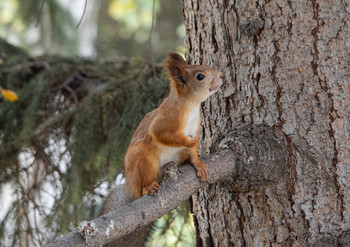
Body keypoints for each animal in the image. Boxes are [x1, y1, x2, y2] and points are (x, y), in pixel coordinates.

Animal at [123, 52, 221, 199]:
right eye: (200, 76)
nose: (221, 75)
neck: (191, 105)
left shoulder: (195, 127)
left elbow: (193, 153)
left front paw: (199, 164)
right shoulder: (167, 119)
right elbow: (163, 135)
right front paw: (192, 141)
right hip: (144, 162)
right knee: (140, 189)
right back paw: (147, 188)